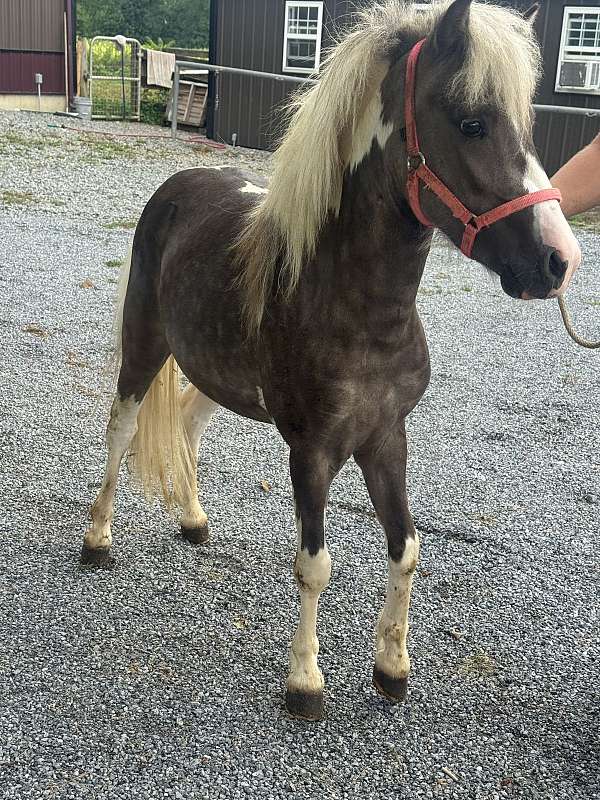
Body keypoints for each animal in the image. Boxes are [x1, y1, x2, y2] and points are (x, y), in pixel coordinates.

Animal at [82, 0, 581, 721]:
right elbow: (314, 564)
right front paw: (304, 682)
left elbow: (406, 549)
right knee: (121, 428)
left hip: (215, 372)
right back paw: (97, 540)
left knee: (188, 425)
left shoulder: (386, 438)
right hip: (144, 341)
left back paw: (194, 521)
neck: (354, 306)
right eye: (472, 122)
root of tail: (181, 181)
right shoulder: (312, 448)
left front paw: (392, 669)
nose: (558, 260)